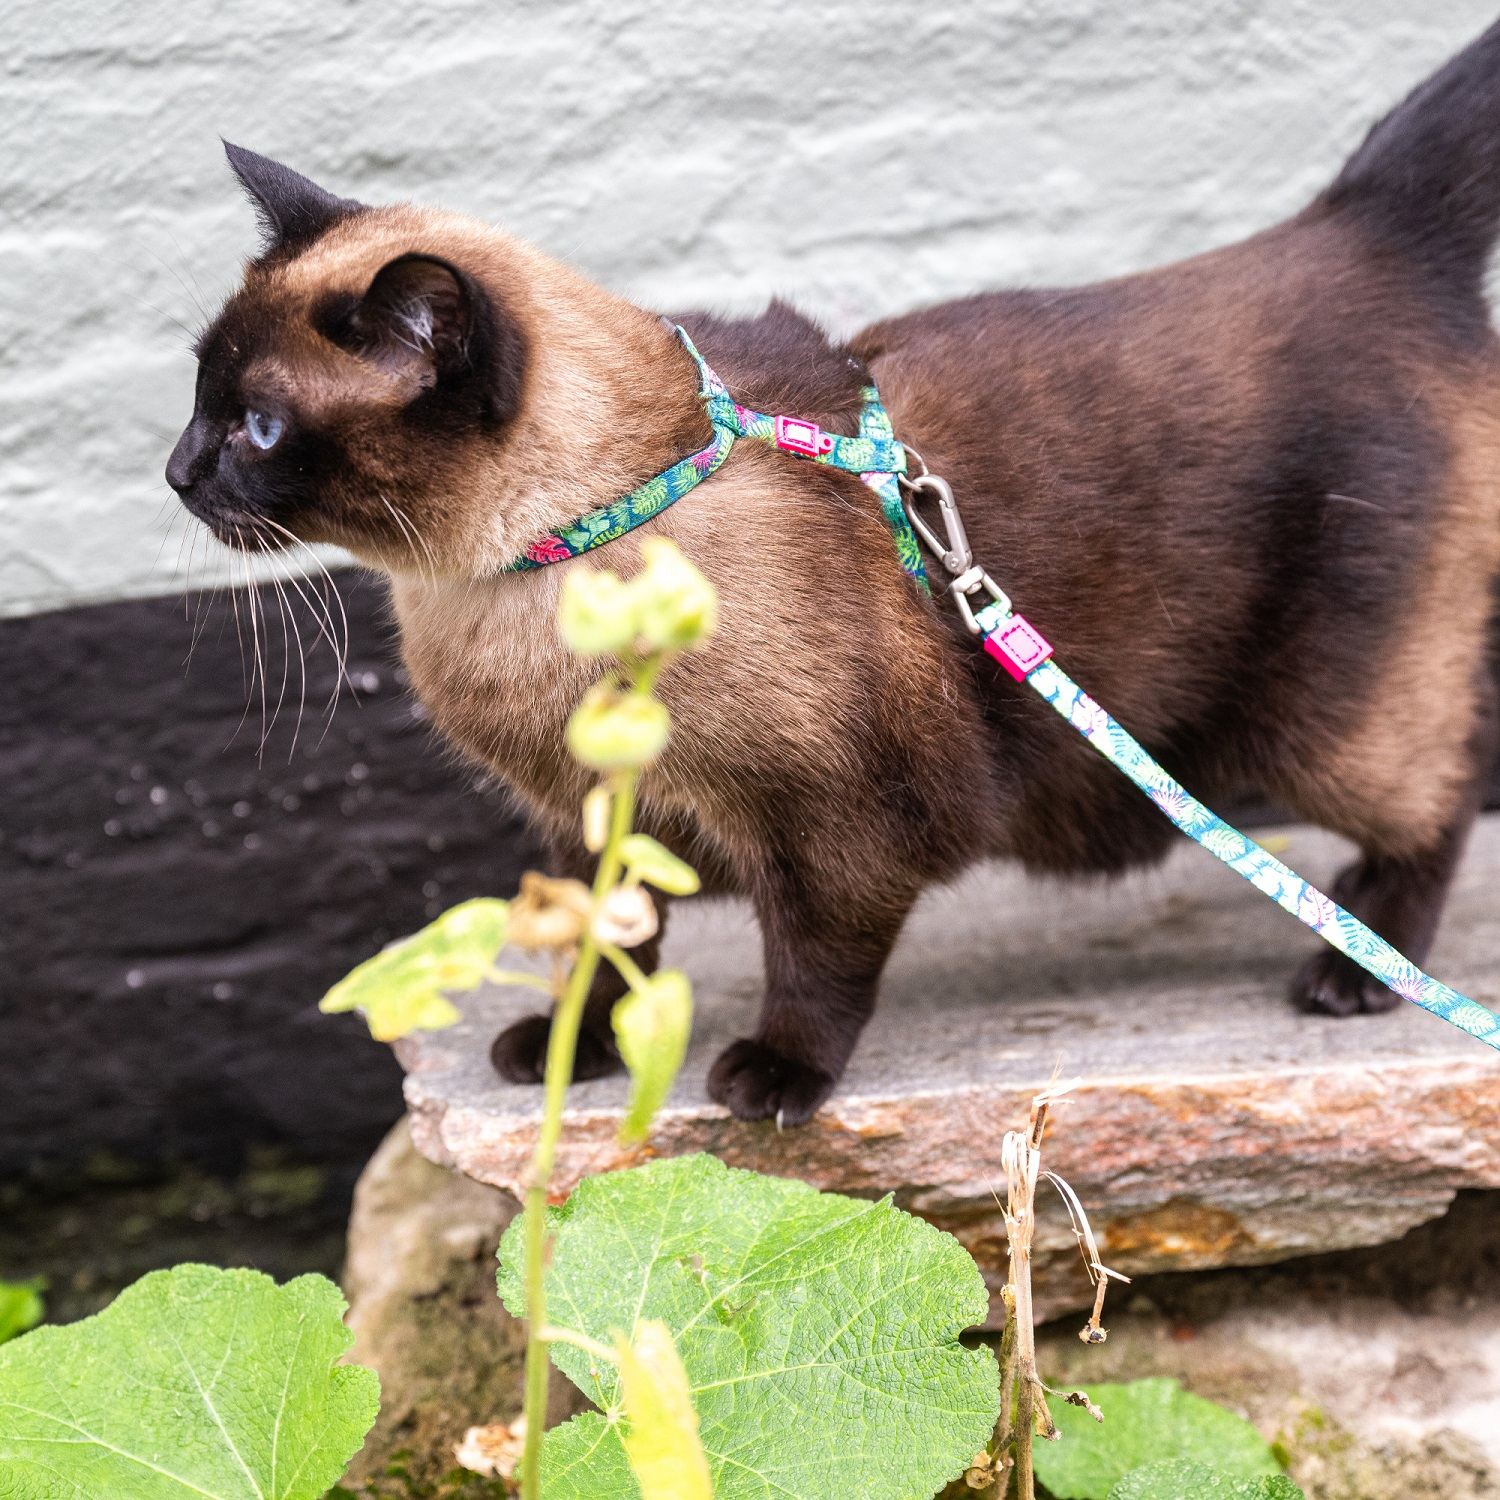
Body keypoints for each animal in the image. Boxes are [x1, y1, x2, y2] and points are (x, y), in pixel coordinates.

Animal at [170, 20, 1500, 1128]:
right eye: (198, 394)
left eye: (261, 429)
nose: (176, 472)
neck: (527, 577)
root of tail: (1356, 225)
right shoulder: (594, 822)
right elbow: (605, 957)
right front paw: (566, 1054)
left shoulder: (844, 823)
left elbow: (814, 968)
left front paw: (772, 1080)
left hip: (1309, 730)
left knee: (1436, 805)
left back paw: (1352, 973)